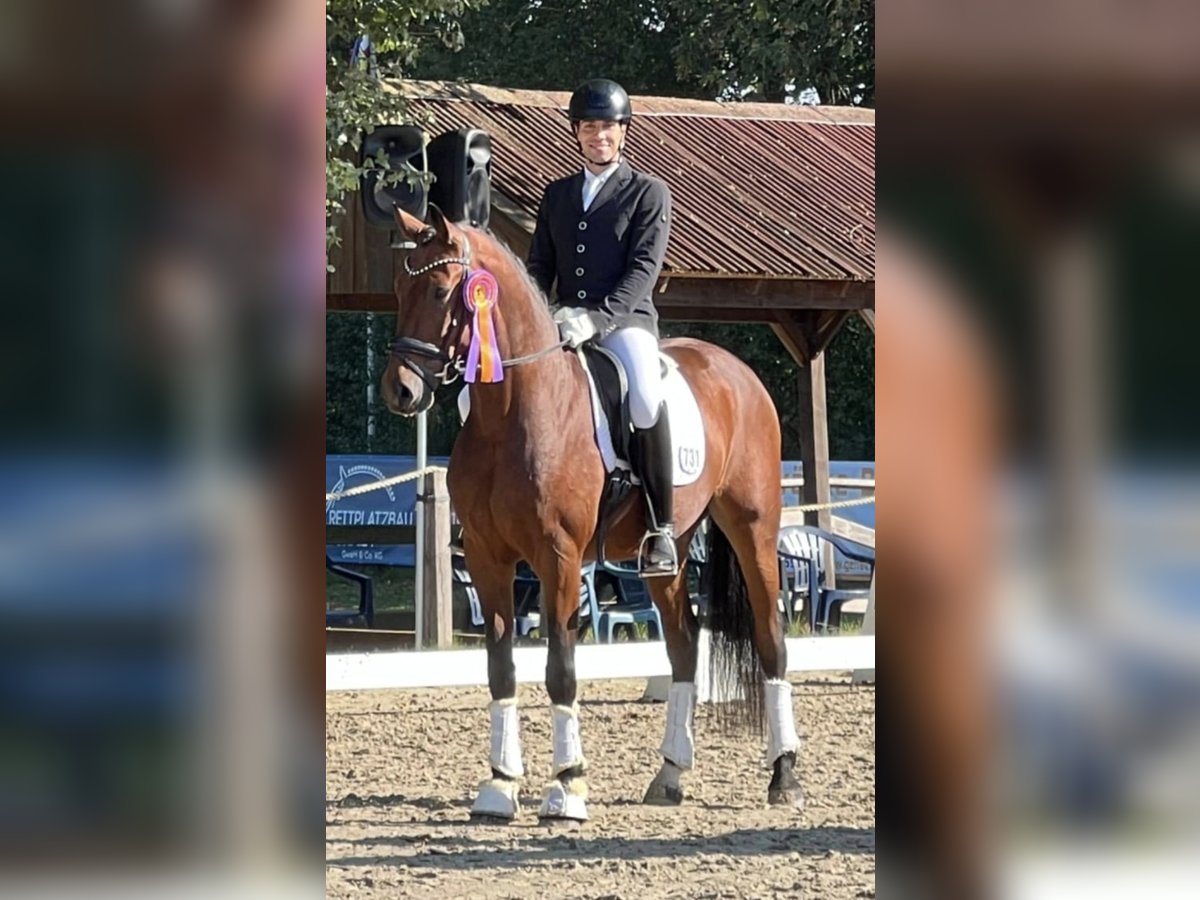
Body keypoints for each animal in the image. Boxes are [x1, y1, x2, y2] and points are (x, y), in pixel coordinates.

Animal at [379, 206, 801, 825]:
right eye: (398, 290)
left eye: (438, 290)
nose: (400, 392)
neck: (511, 415)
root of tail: (735, 371)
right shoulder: (486, 555)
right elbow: (500, 667)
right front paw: (499, 787)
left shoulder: (558, 557)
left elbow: (560, 667)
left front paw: (567, 788)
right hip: (669, 554)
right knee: (683, 641)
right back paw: (669, 775)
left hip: (753, 527)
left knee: (771, 638)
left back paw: (783, 775)